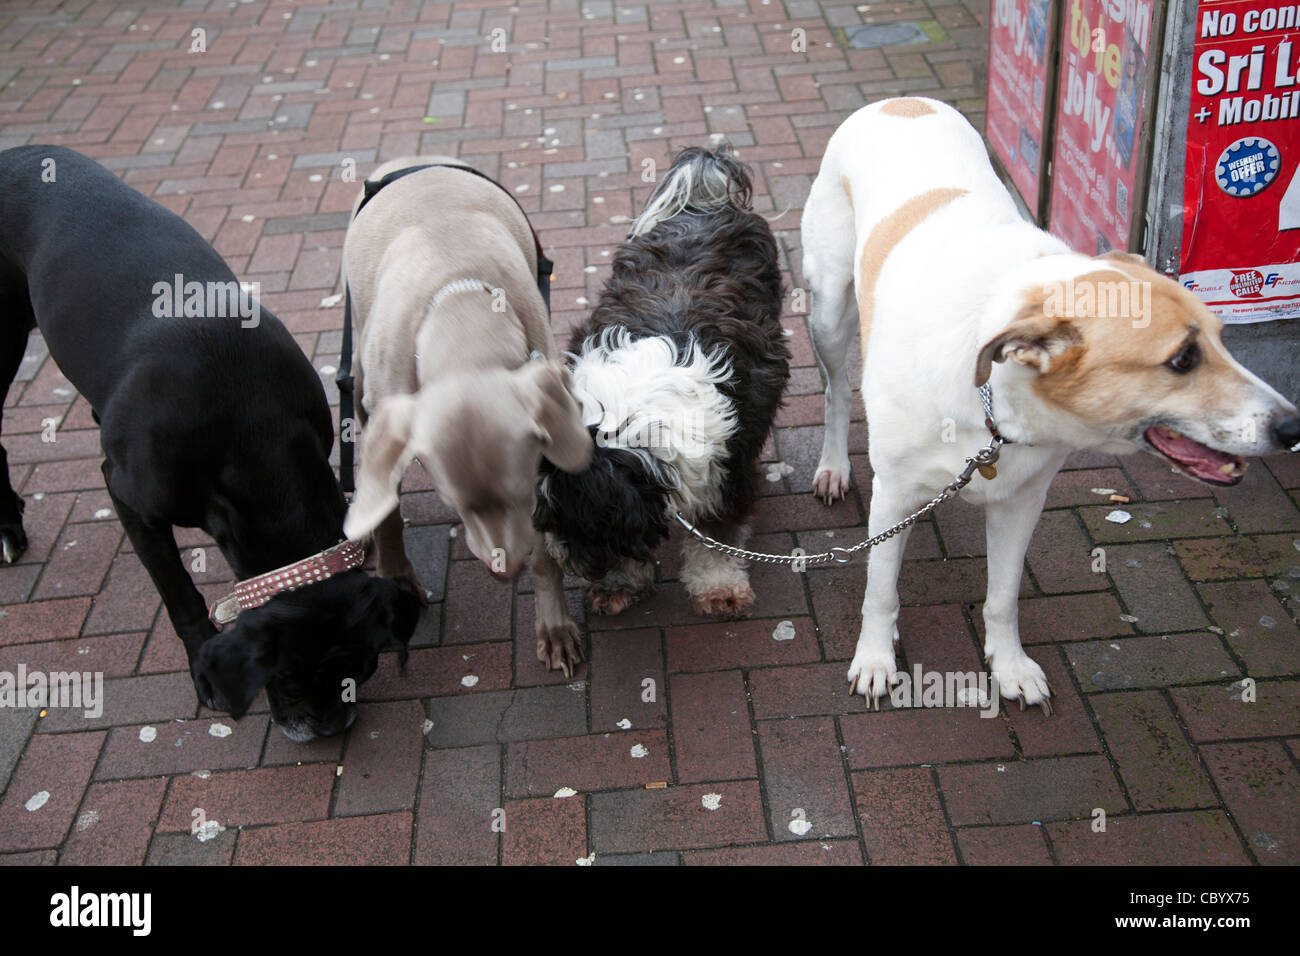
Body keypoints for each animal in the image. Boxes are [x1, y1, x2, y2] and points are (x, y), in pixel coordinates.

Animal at [0, 147, 416, 738]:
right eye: (285, 679)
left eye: (364, 667)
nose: (330, 729)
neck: (247, 432)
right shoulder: (130, 498)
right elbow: (177, 589)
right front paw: (202, 664)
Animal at [340, 157, 595, 676]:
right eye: (455, 505)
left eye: (522, 493)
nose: (506, 572)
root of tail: (404, 161)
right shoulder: (389, 414)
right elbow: (389, 510)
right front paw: (396, 576)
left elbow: (545, 552)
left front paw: (554, 627)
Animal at [533, 145, 785, 616]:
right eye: (547, 516)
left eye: (580, 521)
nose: (566, 558)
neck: (627, 419)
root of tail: (704, 197)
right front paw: (618, 582)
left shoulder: (726, 464)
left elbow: (716, 536)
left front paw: (719, 587)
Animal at [800, 98, 1300, 712]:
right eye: (1183, 359)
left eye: (1223, 340)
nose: (1293, 427)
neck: (993, 400)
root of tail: (899, 101)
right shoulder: (893, 495)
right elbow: (880, 589)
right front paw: (874, 659)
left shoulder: (1023, 500)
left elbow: (1003, 596)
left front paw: (1011, 667)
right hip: (829, 310)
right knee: (835, 390)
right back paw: (832, 468)